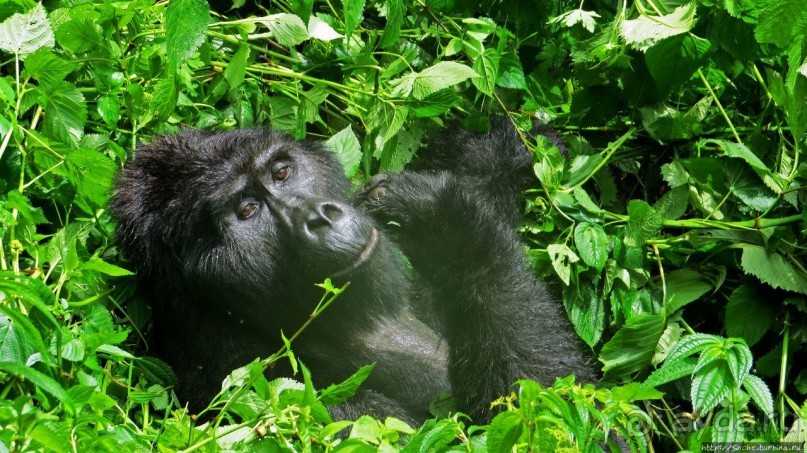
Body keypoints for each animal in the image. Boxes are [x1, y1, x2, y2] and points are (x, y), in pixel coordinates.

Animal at [110, 118, 592, 422]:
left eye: (281, 172)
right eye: (247, 211)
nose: (320, 216)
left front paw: (505, 149)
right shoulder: (273, 393)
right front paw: (445, 222)